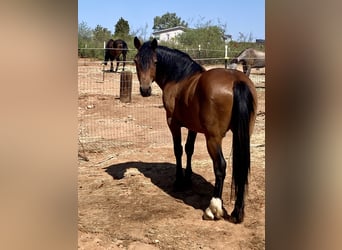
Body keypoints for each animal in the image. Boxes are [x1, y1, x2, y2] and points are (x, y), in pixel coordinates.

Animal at [133, 37, 256, 225]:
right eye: (136, 61)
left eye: (155, 61)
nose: (145, 90)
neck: (179, 77)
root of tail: (237, 80)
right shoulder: (193, 127)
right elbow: (189, 149)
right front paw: (188, 177)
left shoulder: (173, 123)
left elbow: (178, 149)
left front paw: (179, 181)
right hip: (243, 136)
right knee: (241, 166)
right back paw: (237, 212)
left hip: (213, 138)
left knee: (220, 166)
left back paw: (213, 209)